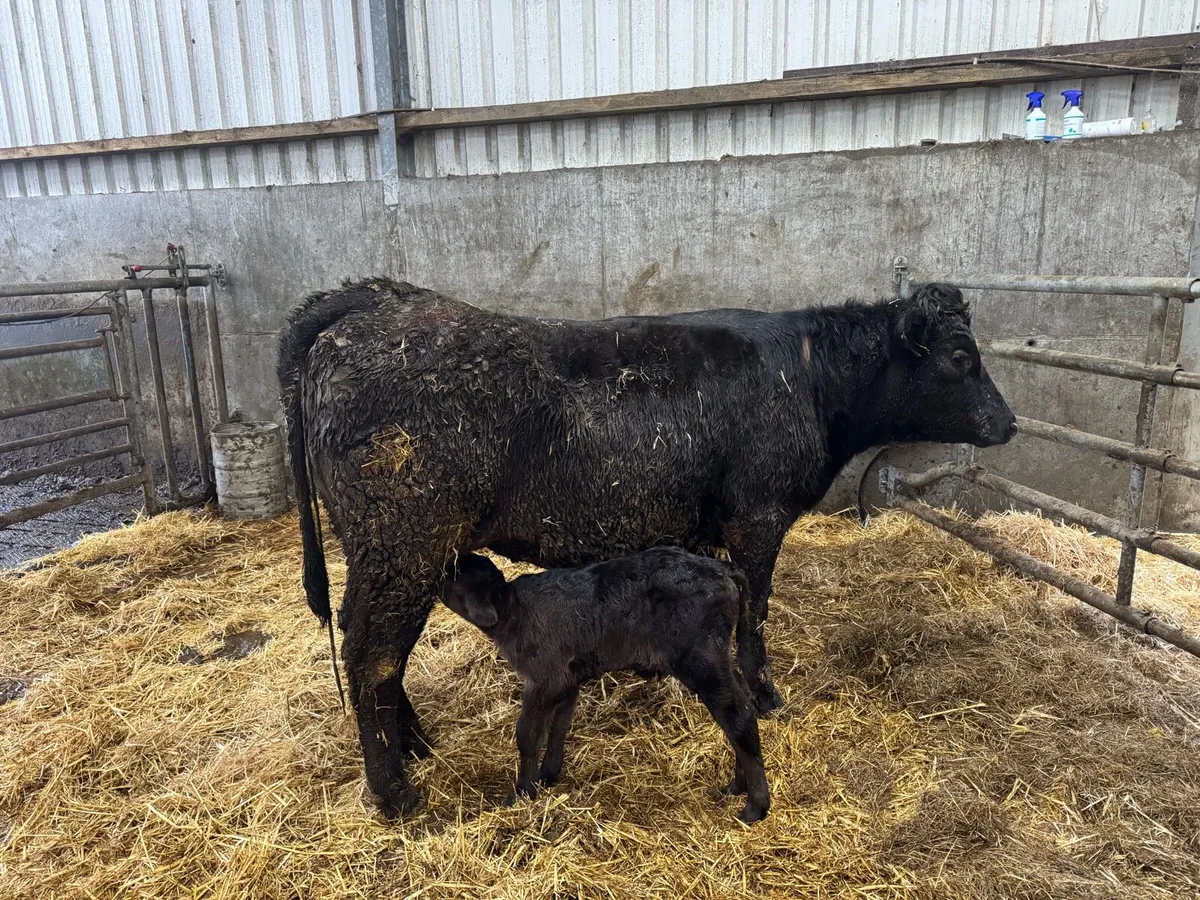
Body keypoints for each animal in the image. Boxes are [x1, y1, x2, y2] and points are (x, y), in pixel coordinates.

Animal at [278, 277, 1015, 817]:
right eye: (961, 358)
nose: (1008, 423)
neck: (804, 375)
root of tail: (377, 300)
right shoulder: (758, 517)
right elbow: (755, 613)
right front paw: (766, 694)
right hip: (402, 542)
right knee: (370, 655)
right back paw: (396, 793)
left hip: (399, 552)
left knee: (378, 652)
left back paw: (416, 748)